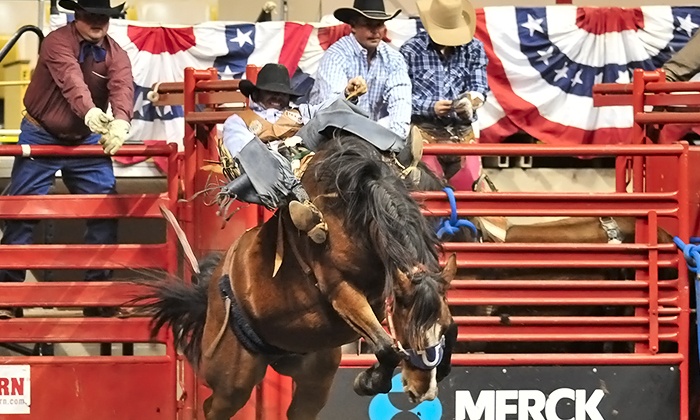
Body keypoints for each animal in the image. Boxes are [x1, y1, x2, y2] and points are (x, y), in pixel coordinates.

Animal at [137, 136, 456, 420]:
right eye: (410, 326)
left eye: (437, 327)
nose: (423, 391)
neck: (357, 217)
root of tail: (211, 292)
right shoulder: (341, 291)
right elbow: (387, 347)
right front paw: (368, 381)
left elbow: (447, 329)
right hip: (232, 380)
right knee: (213, 407)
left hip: (312, 372)